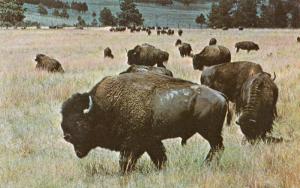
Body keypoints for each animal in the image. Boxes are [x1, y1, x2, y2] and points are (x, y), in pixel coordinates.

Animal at [61, 72, 230, 173]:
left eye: (79, 122)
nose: (67, 136)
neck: (102, 108)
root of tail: (220, 95)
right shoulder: (151, 141)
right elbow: (159, 157)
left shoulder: (134, 143)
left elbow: (127, 160)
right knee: (218, 147)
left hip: (209, 131)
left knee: (217, 147)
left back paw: (206, 165)